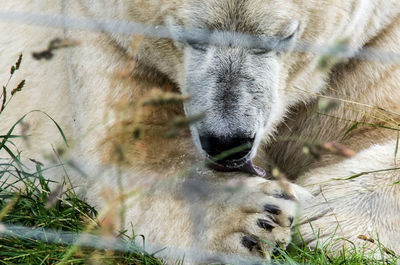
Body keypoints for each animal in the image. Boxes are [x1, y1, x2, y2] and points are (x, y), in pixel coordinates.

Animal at [0, 0, 400, 262]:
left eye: (283, 36)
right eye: (190, 35)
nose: (227, 141)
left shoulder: (378, 35)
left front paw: (326, 218)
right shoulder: (104, 31)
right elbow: (137, 143)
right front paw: (256, 220)